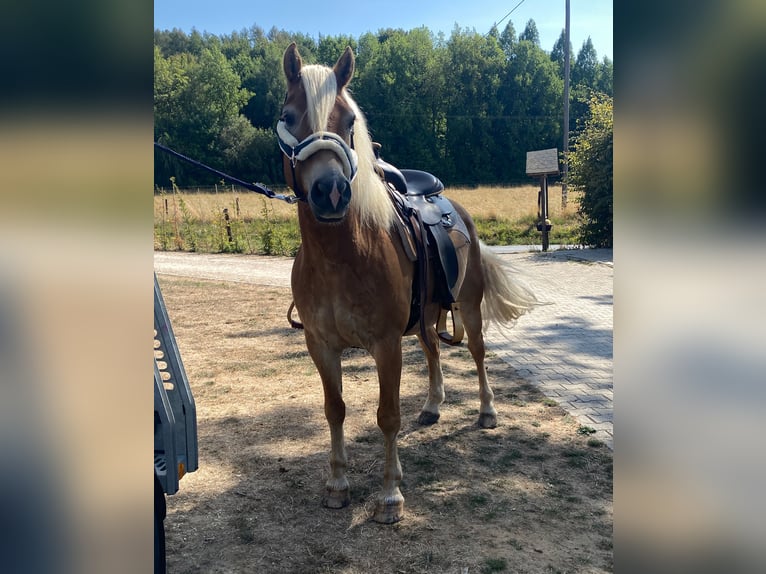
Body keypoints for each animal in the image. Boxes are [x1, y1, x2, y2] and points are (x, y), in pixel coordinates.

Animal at [280, 42, 536, 524]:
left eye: (349, 121)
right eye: (287, 116)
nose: (331, 191)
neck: (341, 257)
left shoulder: (386, 345)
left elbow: (387, 416)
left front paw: (389, 495)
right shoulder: (320, 345)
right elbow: (334, 410)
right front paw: (337, 484)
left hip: (468, 308)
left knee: (477, 353)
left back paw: (487, 411)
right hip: (425, 316)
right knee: (434, 350)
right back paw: (433, 406)